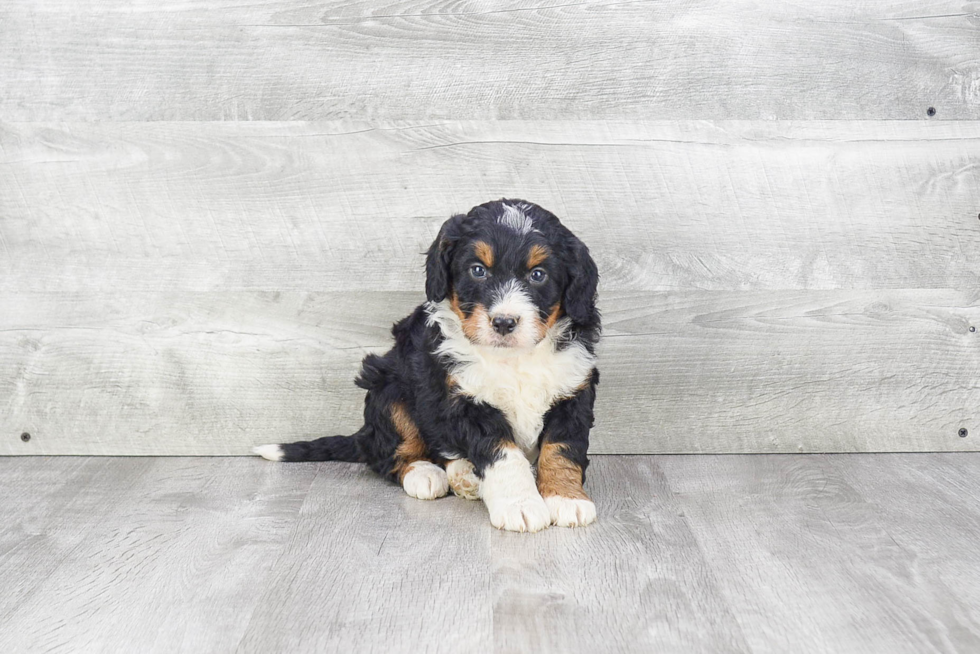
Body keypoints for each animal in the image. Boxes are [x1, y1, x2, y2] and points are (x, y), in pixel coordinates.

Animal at [253, 200, 596, 532]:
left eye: (538, 275)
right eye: (477, 271)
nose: (503, 322)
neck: (513, 358)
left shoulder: (573, 391)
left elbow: (562, 449)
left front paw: (566, 498)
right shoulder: (464, 398)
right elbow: (504, 455)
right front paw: (520, 506)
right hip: (388, 389)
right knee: (391, 452)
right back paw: (429, 474)